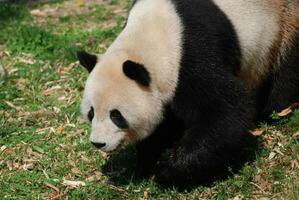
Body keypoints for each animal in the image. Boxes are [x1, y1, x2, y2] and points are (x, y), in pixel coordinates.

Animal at [78, 0, 299, 186]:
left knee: (285, 73)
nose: (98, 143)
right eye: (91, 113)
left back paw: (273, 111)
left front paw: (167, 168)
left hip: (285, 24)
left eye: (116, 116)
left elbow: (226, 111)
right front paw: (143, 165)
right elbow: (163, 123)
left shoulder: (192, 55)